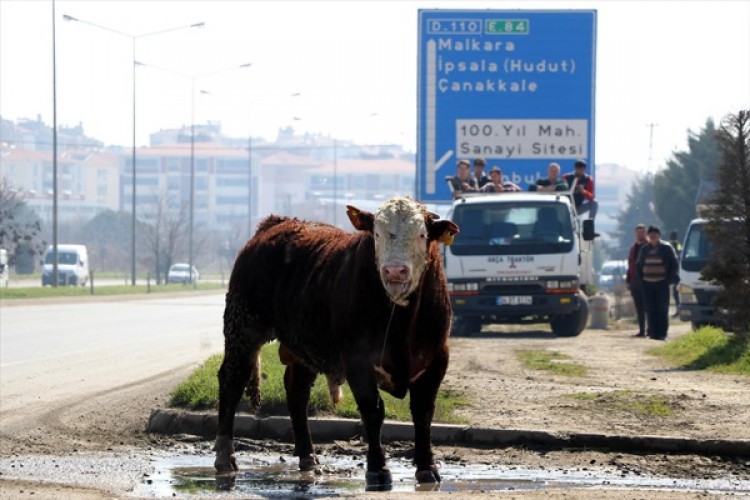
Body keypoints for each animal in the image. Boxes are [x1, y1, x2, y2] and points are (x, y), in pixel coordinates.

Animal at [212, 195, 458, 484]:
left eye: (421, 234)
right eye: (377, 234)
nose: (394, 271)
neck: (402, 321)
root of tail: (274, 224)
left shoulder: (437, 358)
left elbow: (423, 412)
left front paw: (427, 467)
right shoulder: (358, 359)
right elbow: (373, 410)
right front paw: (377, 468)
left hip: (302, 344)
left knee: (297, 391)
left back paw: (308, 456)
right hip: (243, 326)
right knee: (232, 380)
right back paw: (225, 457)